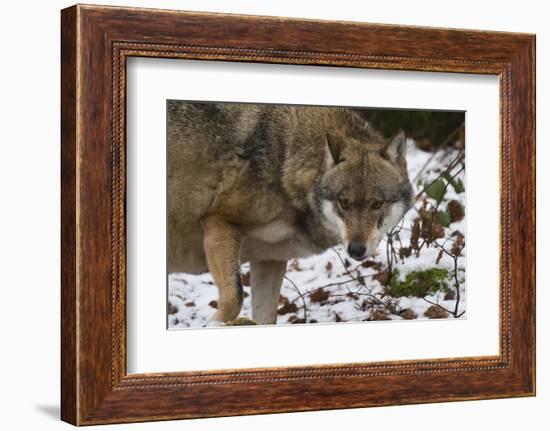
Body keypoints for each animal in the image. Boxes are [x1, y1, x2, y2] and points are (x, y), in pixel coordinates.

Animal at [168, 102, 414, 324]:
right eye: (344, 203)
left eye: (377, 204)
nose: (356, 250)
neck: (284, 162)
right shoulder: (220, 223)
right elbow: (235, 297)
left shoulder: (269, 258)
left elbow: (266, 317)